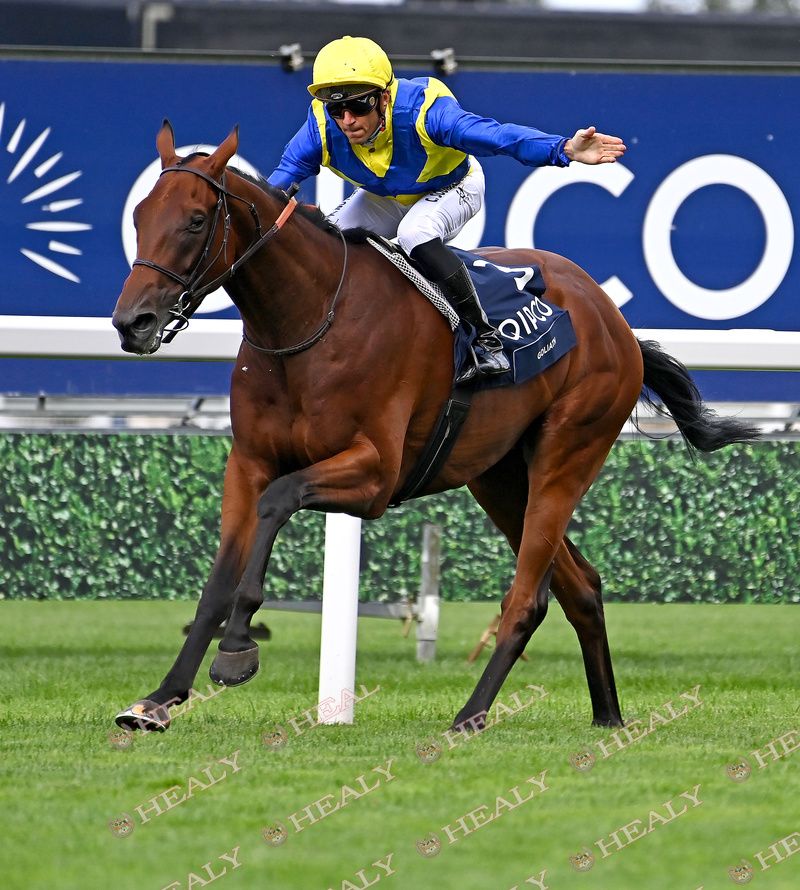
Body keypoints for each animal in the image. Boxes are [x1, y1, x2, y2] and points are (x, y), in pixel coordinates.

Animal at [111, 126, 756, 736]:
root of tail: (613, 319)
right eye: (140, 216)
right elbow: (219, 578)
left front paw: (238, 649)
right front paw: (160, 699)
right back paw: (608, 717)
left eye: (196, 220)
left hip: (568, 452)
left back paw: (471, 715)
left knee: (529, 597)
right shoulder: (246, 462)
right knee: (581, 586)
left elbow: (278, 501)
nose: (131, 323)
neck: (308, 321)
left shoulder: (375, 475)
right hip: (499, 478)